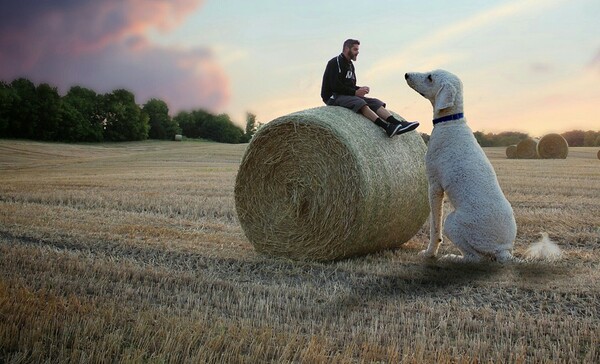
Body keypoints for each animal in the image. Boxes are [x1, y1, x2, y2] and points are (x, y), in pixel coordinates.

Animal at [406, 69, 516, 262]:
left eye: (430, 77)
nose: (406, 75)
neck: (450, 121)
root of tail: (503, 250)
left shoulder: (434, 185)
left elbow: (435, 227)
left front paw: (429, 253)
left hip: (452, 222)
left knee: (474, 257)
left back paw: (451, 257)